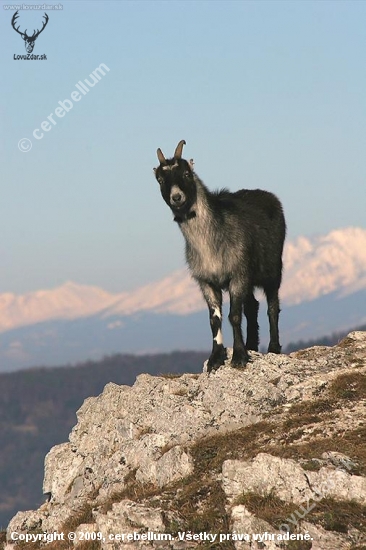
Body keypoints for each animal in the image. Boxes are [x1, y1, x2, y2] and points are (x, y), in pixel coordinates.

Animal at [153, 141, 288, 376]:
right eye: (161, 179)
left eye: (187, 173)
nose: (176, 197)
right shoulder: (207, 282)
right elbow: (214, 320)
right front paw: (215, 359)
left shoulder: (237, 275)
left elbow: (234, 316)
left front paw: (239, 357)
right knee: (252, 306)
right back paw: (252, 345)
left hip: (272, 270)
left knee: (272, 306)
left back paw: (273, 347)